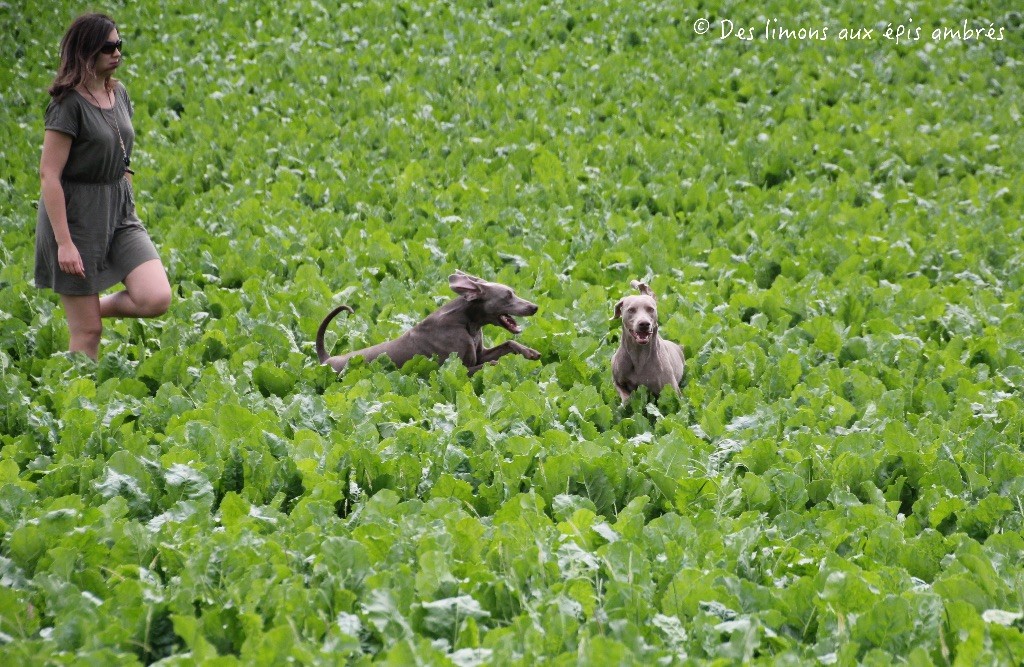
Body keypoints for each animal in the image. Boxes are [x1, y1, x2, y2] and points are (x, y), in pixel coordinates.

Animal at [317, 270, 544, 374]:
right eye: (507, 296)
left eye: (513, 292)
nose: (534, 307)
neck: (467, 323)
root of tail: (326, 359)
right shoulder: (456, 367)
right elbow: (489, 364)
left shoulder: (479, 354)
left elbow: (508, 343)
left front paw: (530, 352)